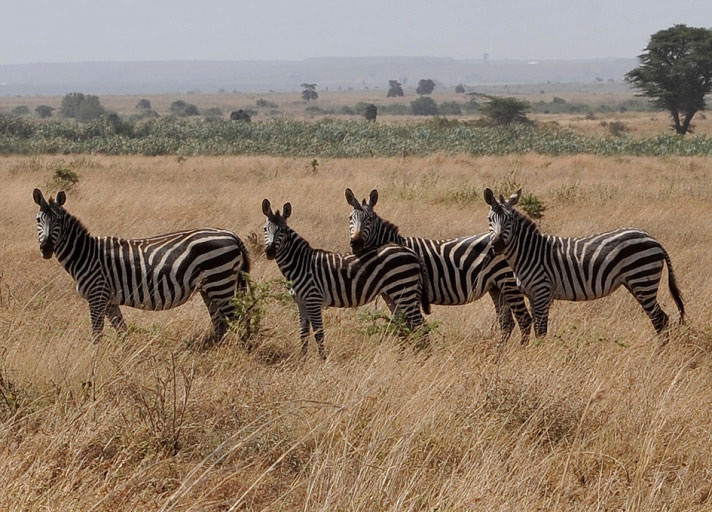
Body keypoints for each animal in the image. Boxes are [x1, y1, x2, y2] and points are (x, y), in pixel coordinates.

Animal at [32, 188, 250, 340]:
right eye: (38, 220)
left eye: (58, 220)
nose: (46, 248)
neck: (85, 254)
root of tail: (232, 235)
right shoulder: (109, 301)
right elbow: (122, 331)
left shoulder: (97, 295)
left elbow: (97, 334)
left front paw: (95, 361)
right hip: (210, 288)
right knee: (221, 323)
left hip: (220, 282)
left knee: (238, 320)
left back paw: (242, 353)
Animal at [262, 198, 428, 358]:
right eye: (265, 229)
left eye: (283, 230)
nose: (270, 251)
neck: (301, 264)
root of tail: (411, 251)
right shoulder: (301, 303)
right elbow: (303, 334)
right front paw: (302, 360)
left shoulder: (313, 300)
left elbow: (319, 334)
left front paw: (323, 360)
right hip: (393, 295)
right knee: (406, 325)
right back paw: (404, 357)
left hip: (404, 290)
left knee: (421, 325)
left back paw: (423, 358)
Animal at [344, 188, 528, 344]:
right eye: (350, 218)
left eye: (369, 219)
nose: (356, 244)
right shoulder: (391, 294)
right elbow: (400, 325)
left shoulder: (405, 291)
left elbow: (406, 326)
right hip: (496, 286)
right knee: (507, 323)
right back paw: (498, 354)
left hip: (509, 283)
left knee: (524, 319)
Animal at [484, 186, 684, 338]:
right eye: (489, 219)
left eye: (510, 219)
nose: (497, 245)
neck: (529, 253)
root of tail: (653, 240)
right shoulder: (533, 296)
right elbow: (537, 329)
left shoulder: (542, 292)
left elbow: (541, 331)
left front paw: (539, 354)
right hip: (638, 282)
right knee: (661, 319)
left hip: (642, 279)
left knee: (660, 320)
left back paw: (660, 354)